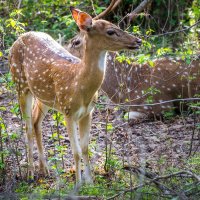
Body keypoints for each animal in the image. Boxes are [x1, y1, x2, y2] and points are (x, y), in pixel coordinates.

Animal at [8, 6, 142, 188]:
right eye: (111, 31)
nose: (138, 41)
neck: (80, 85)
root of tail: (18, 39)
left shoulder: (87, 112)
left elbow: (85, 148)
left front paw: (90, 182)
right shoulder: (68, 111)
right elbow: (76, 151)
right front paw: (78, 184)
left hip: (44, 96)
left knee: (36, 123)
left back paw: (45, 169)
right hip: (20, 84)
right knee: (27, 127)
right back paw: (30, 173)